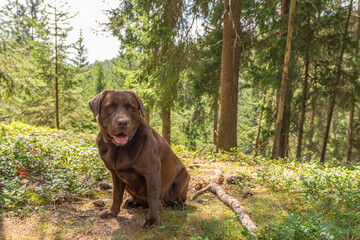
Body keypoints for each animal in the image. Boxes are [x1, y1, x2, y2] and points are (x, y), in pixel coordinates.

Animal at [88, 89, 190, 228]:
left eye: (131, 107)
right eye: (109, 107)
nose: (122, 122)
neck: (118, 149)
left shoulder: (152, 173)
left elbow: (153, 198)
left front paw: (153, 220)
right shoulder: (115, 174)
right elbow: (116, 195)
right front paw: (112, 212)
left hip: (183, 177)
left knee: (176, 196)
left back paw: (178, 204)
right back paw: (133, 202)